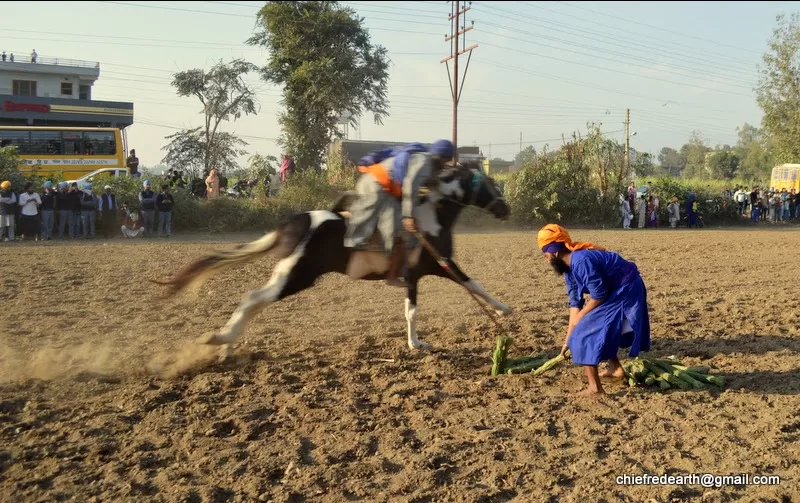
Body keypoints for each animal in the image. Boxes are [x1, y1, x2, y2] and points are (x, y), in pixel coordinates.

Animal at [156, 160, 512, 354]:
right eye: (489, 184)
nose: (505, 209)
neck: (428, 218)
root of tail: (295, 222)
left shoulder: (421, 273)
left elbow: (444, 296)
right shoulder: (436, 267)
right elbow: (459, 291)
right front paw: (504, 310)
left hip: (288, 274)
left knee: (254, 301)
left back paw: (226, 344)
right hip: (296, 275)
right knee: (253, 297)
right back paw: (222, 338)